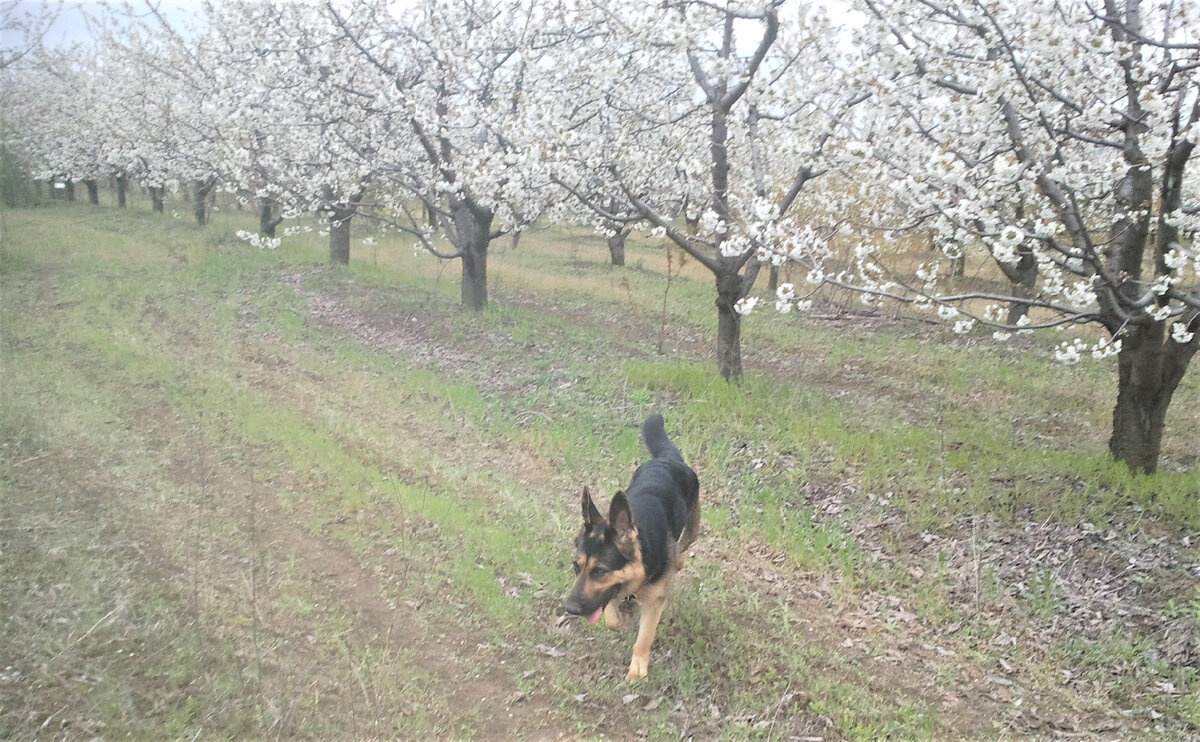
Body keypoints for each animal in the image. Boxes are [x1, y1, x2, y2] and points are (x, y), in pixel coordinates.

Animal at [564, 413, 700, 677]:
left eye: (600, 571)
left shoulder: (655, 602)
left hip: (693, 526)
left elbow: (643, 639)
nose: (570, 608)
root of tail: (668, 459)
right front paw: (623, 617)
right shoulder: (609, 594)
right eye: (576, 566)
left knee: (684, 548)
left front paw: (637, 671)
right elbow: (612, 619)